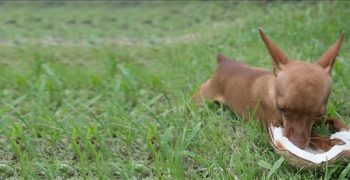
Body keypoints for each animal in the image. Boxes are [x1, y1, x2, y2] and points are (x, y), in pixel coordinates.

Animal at [193, 29, 348, 150]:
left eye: (318, 114)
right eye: (282, 109)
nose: (296, 145)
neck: (273, 93)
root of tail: (223, 62)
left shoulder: (319, 120)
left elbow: (333, 120)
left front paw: (343, 126)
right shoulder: (277, 124)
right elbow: (314, 137)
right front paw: (327, 142)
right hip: (202, 98)